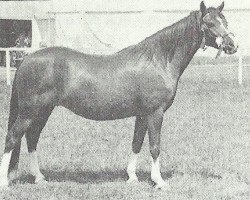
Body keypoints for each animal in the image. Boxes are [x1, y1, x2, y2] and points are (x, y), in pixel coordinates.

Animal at [0, 1, 237, 189]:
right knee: (13, 137)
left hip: (43, 111)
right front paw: (159, 182)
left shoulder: (142, 114)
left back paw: (39, 177)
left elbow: (136, 143)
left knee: (32, 138)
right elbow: (154, 146)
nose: (232, 45)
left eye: (224, 20)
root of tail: (26, 60)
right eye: (209, 23)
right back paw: (5, 183)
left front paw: (132, 177)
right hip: (30, 111)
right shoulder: (155, 113)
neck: (158, 60)